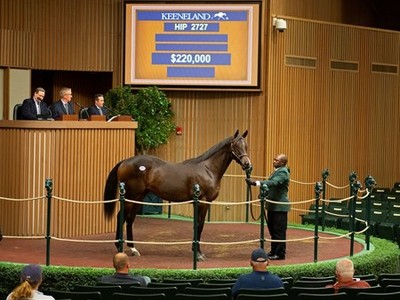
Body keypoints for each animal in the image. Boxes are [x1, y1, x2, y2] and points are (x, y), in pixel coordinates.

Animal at [104, 131, 252, 260]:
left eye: (246, 145)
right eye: (235, 145)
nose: (247, 165)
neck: (207, 169)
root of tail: (124, 161)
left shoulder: (203, 203)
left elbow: (198, 225)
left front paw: (197, 251)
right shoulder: (202, 202)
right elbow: (199, 225)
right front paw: (198, 254)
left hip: (139, 197)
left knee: (130, 219)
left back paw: (133, 249)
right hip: (131, 197)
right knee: (121, 216)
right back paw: (120, 247)